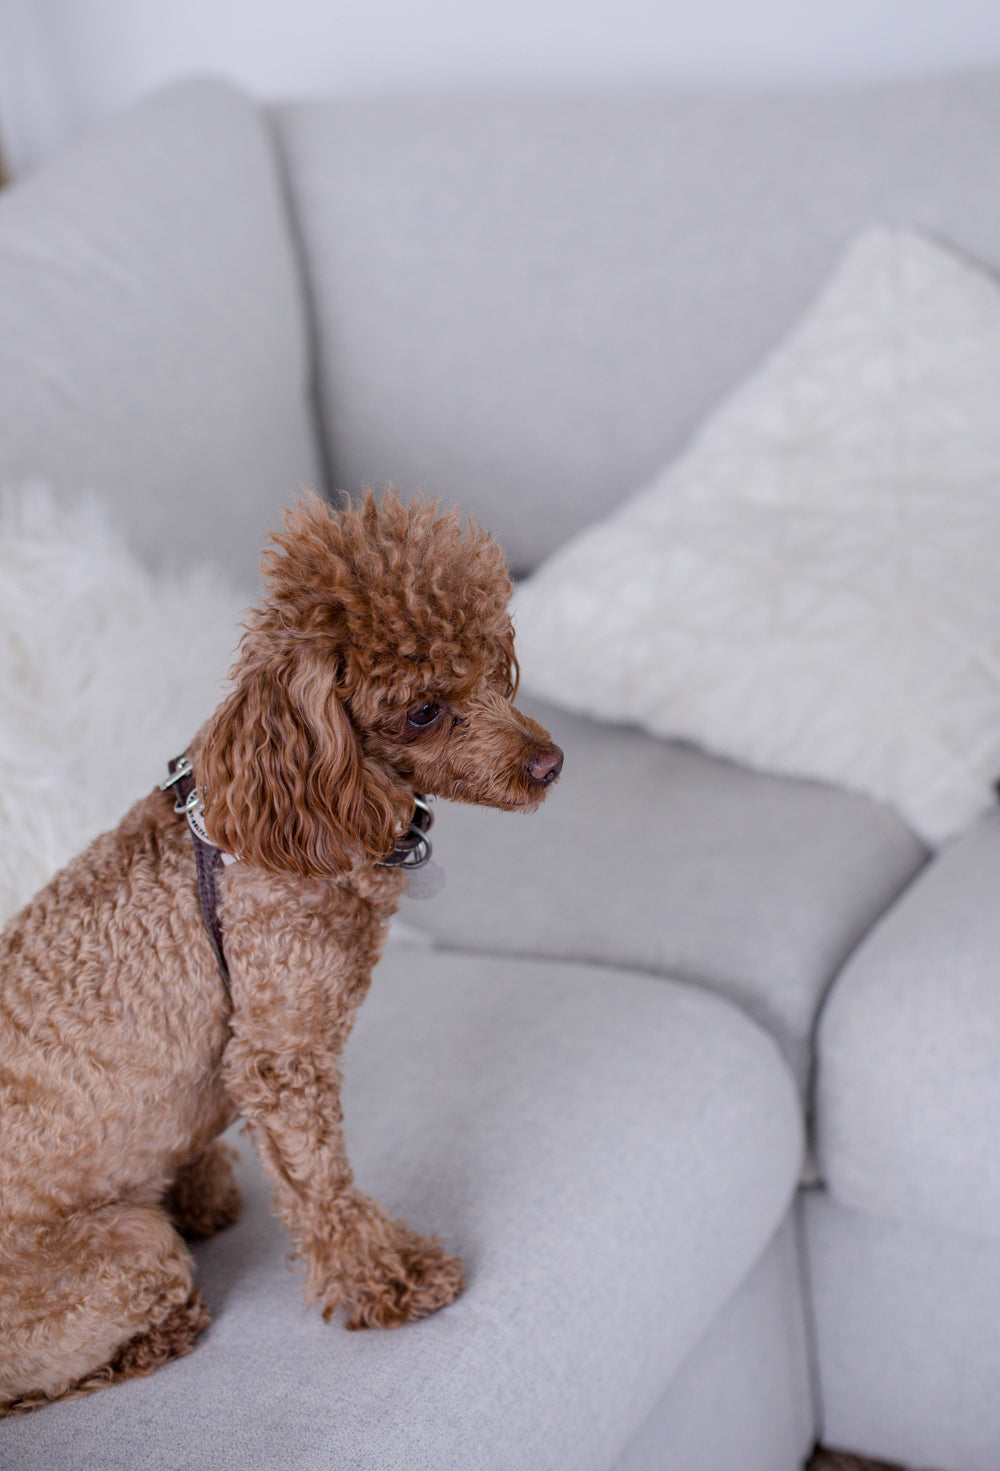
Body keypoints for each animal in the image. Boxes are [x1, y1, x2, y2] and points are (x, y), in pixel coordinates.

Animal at [0, 491, 561, 1412]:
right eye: (423, 709)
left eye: (492, 664)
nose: (551, 763)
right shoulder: (281, 1056)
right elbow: (325, 1188)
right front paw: (388, 1280)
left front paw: (202, 1182)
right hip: (129, 1249)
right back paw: (158, 1335)